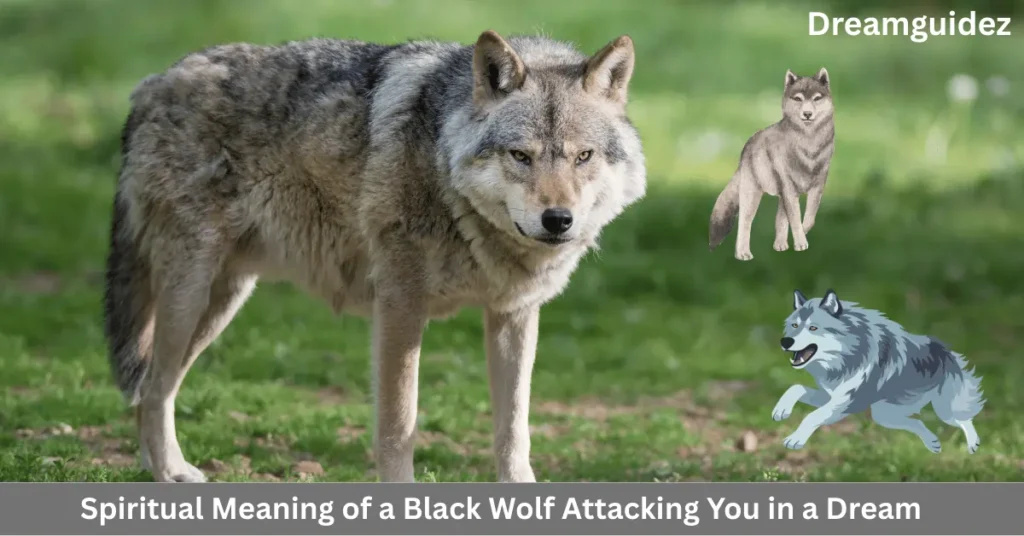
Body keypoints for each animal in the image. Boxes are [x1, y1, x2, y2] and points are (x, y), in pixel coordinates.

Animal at [103, 30, 646, 483]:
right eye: (521, 156)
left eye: (583, 157)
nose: (558, 220)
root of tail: (152, 84)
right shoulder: (400, 307)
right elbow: (398, 426)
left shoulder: (513, 314)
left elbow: (514, 429)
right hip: (191, 296)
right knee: (153, 387)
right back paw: (169, 473)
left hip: (222, 302)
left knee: (151, 388)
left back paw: (162, 469)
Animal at [708, 68, 835, 261]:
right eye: (798, 99)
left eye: (816, 98)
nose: (807, 114)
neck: (808, 143)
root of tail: (748, 144)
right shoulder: (789, 191)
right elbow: (795, 220)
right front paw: (801, 243)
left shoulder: (817, 187)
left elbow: (808, 218)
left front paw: (801, 238)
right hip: (753, 196)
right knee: (744, 223)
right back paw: (743, 254)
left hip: (781, 196)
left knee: (779, 220)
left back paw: (780, 246)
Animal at [772, 289, 985, 454]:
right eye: (795, 325)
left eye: (813, 328)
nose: (785, 341)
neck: (847, 356)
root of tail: (945, 349)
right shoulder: (830, 396)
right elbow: (796, 387)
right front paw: (781, 410)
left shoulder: (847, 402)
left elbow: (812, 415)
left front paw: (795, 439)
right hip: (883, 413)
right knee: (916, 423)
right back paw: (932, 442)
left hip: (942, 410)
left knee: (964, 419)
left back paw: (973, 444)